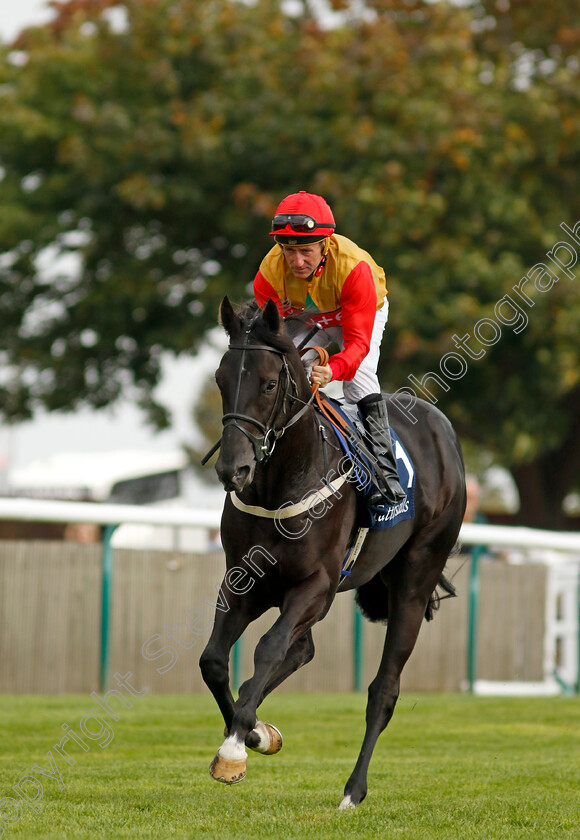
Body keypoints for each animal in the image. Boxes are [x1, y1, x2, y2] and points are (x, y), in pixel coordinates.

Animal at [199, 298, 466, 812]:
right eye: (221, 380)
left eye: (269, 383)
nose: (232, 469)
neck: (282, 483)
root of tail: (445, 432)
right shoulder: (242, 581)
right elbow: (215, 661)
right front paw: (254, 733)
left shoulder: (316, 585)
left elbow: (267, 649)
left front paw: (235, 748)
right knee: (302, 650)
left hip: (415, 576)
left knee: (383, 689)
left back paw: (352, 791)